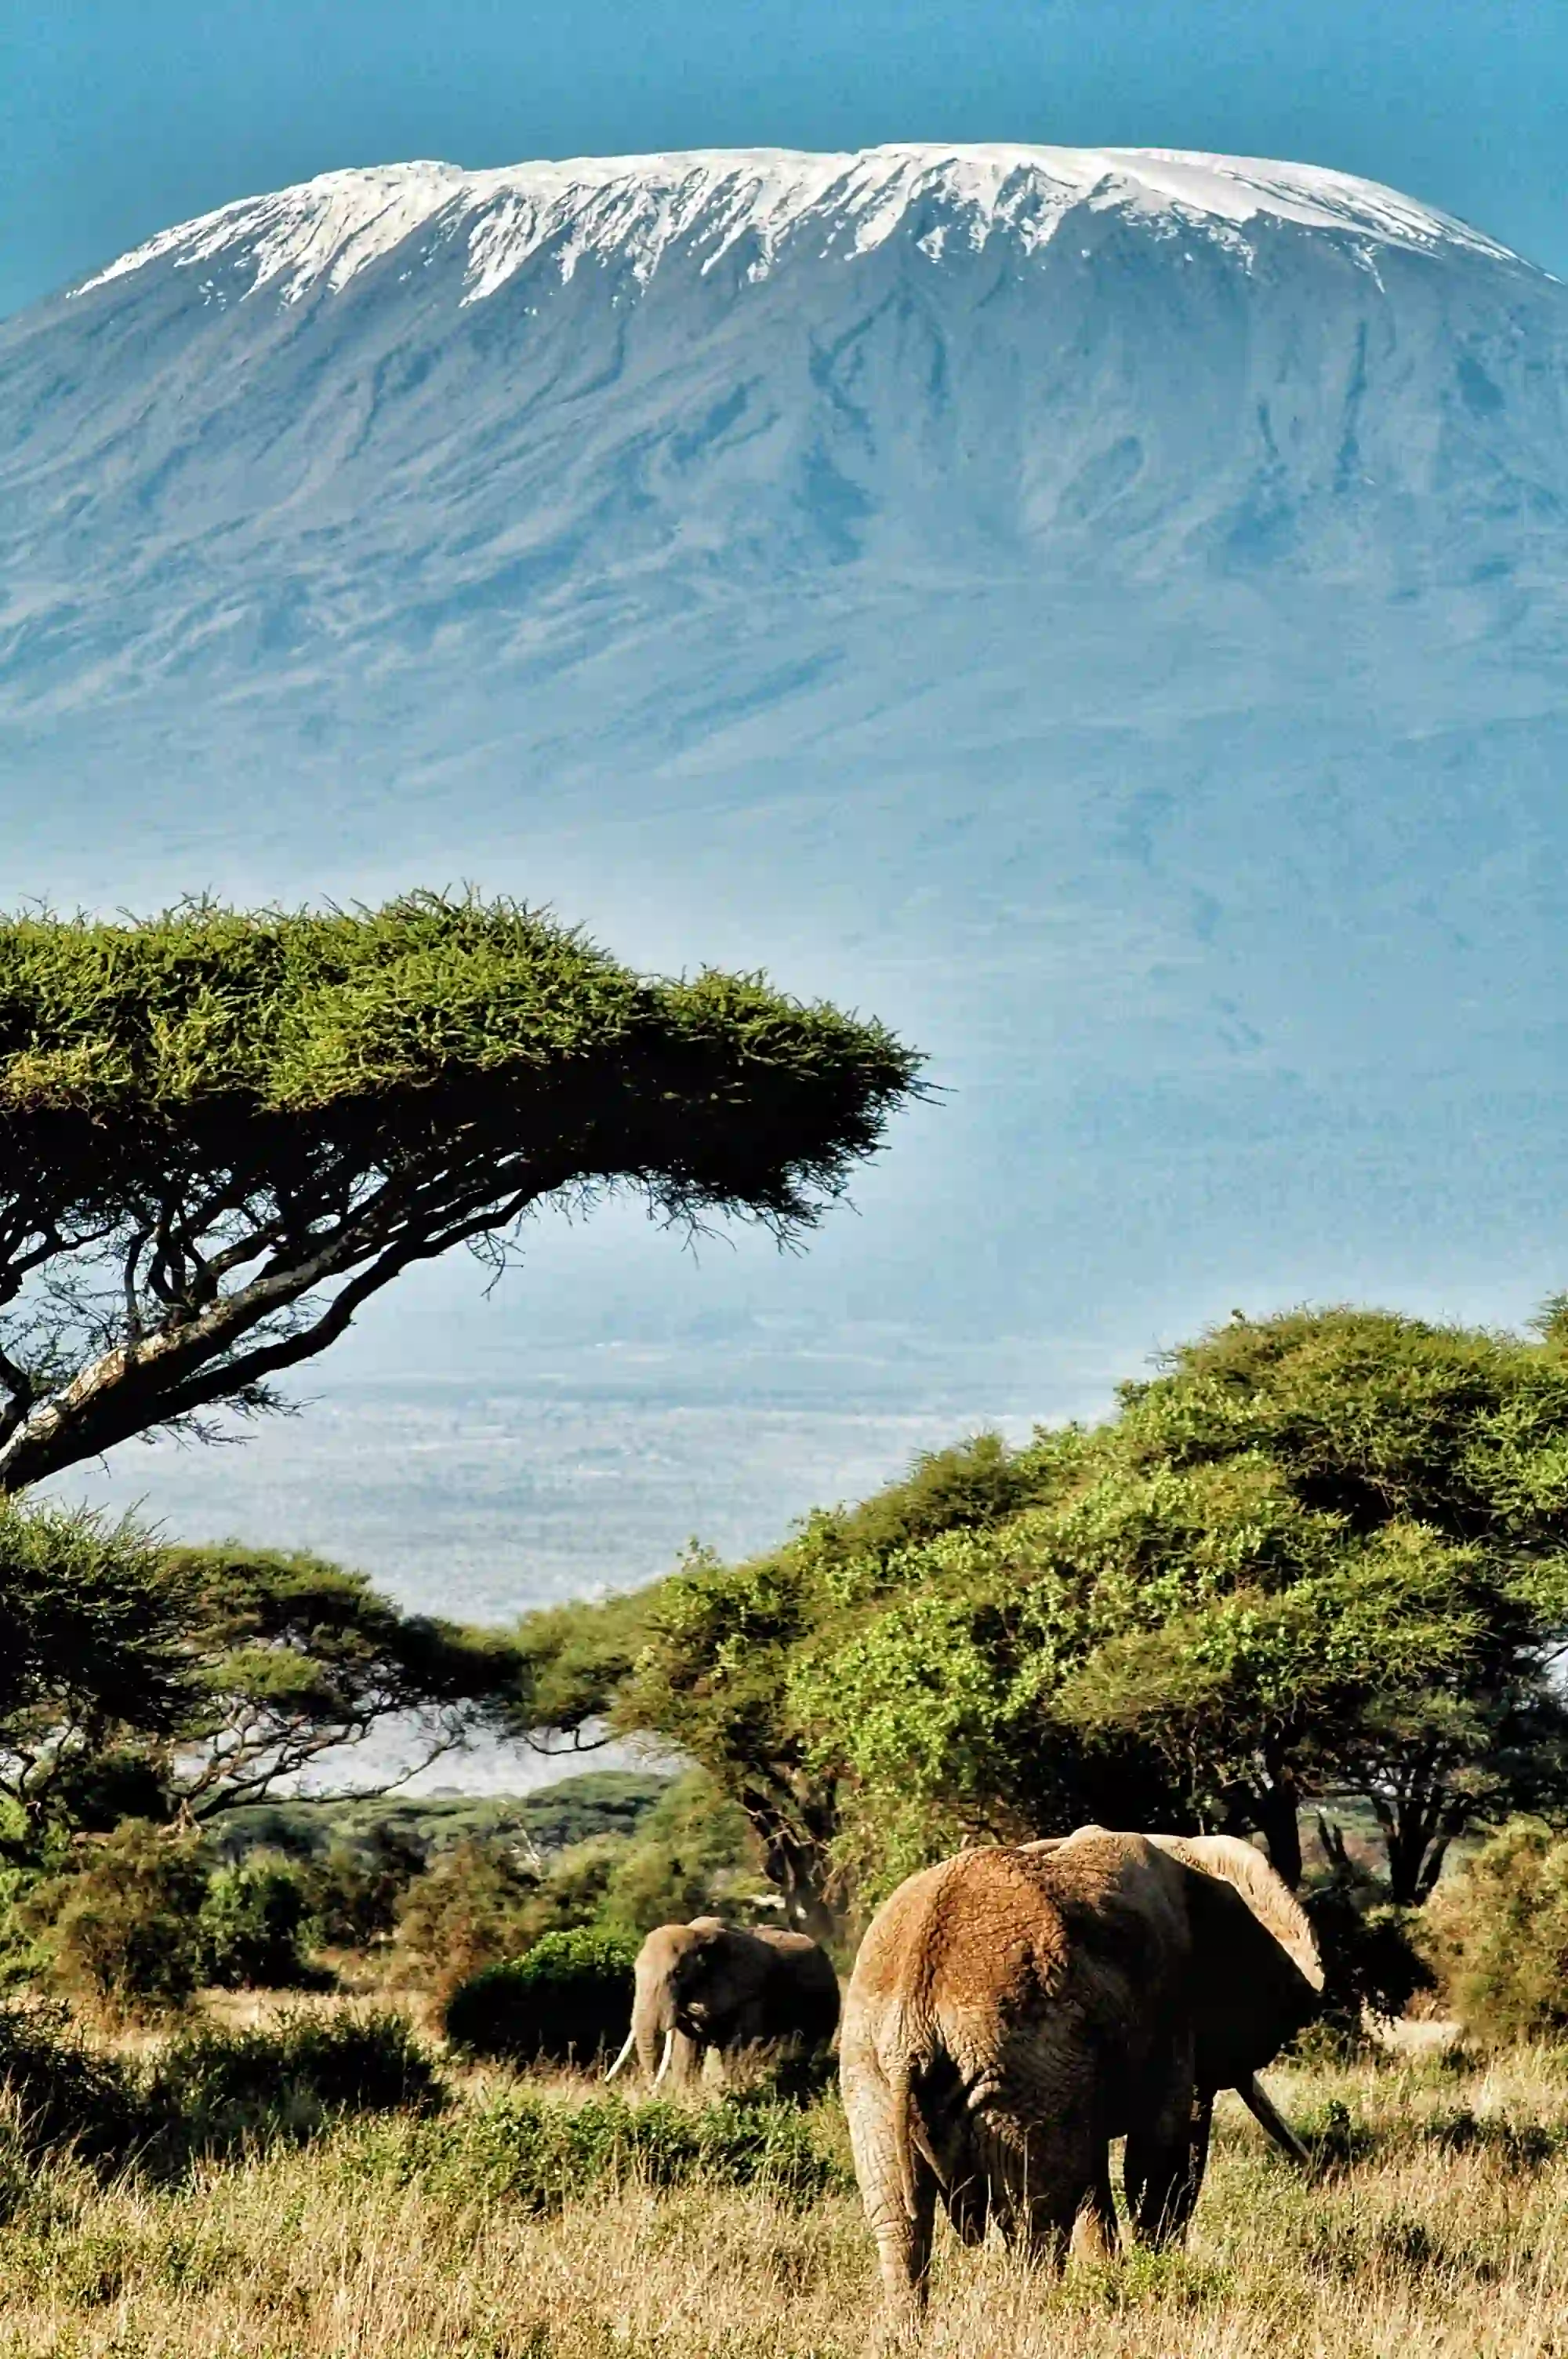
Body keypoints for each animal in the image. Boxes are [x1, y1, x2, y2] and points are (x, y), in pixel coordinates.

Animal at [605, 1915, 840, 2089]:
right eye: (635, 1971)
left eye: (678, 1973)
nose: (651, 2088)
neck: (697, 1935)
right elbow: (686, 2047)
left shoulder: (750, 1992)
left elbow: (741, 2046)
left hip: (827, 2001)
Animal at [839, 1826, 1321, 2343]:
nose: (1313, 2171)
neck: (1187, 1851)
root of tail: (916, 2008)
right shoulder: (1167, 2010)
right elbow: (1159, 2156)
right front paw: (1152, 2282)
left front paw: (1112, 2282)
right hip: (1018, 2064)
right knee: (1035, 2216)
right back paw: (1037, 2323)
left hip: (874, 2069)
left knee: (899, 2220)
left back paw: (908, 2335)